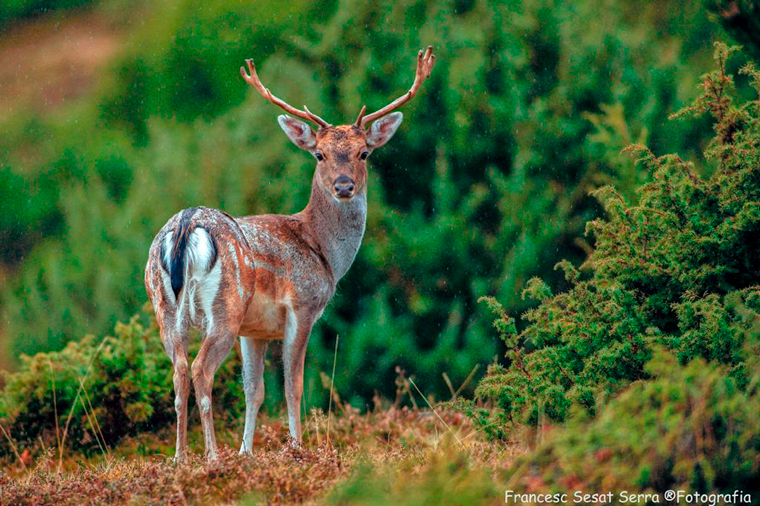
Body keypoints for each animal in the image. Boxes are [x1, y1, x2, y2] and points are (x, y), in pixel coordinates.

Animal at [145, 45, 436, 460]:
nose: (344, 186)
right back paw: (212, 456)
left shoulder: (255, 330)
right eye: (319, 154)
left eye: (364, 153)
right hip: (225, 307)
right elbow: (292, 386)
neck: (324, 252)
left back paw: (181, 457)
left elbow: (254, 391)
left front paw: (246, 453)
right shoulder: (302, 305)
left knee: (179, 370)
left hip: (164, 305)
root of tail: (186, 224)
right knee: (201, 369)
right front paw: (296, 447)